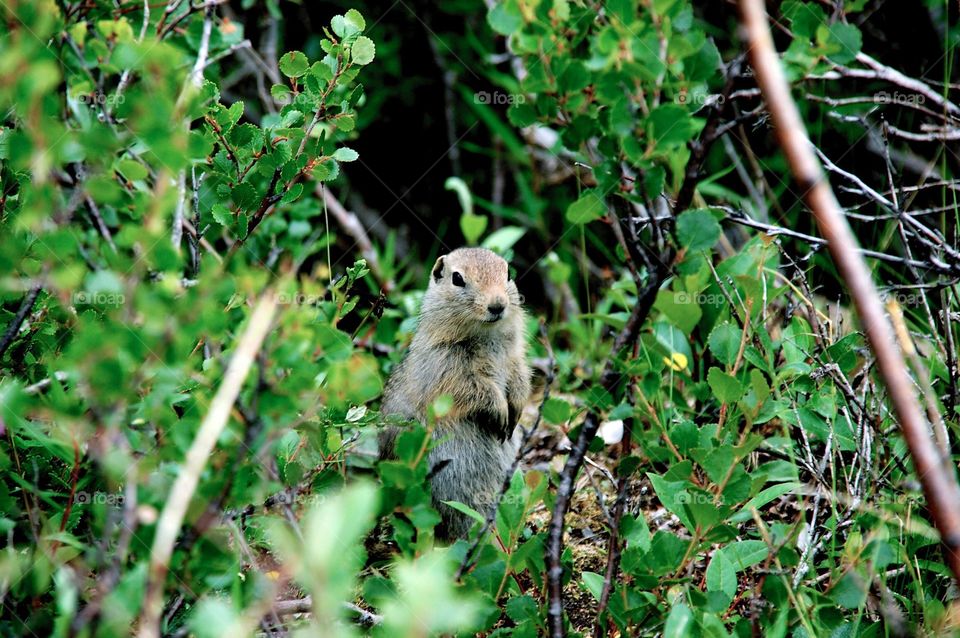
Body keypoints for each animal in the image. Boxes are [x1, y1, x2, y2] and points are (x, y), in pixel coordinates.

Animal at [379, 247, 531, 539]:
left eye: (508, 273)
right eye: (457, 278)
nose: (498, 305)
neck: (486, 334)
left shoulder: (515, 358)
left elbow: (520, 379)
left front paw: (515, 412)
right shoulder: (450, 367)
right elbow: (476, 389)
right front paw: (501, 414)